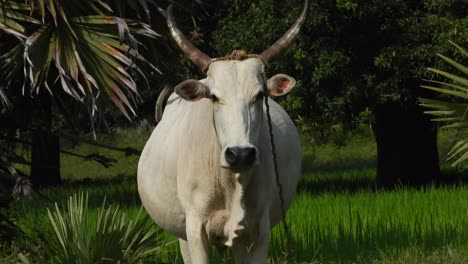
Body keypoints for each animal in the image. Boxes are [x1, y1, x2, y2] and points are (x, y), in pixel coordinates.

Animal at [137, 1, 308, 262]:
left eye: (260, 95)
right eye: (215, 97)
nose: (240, 154)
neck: (230, 182)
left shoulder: (258, 231)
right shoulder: (195, 229)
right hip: (183, 234)